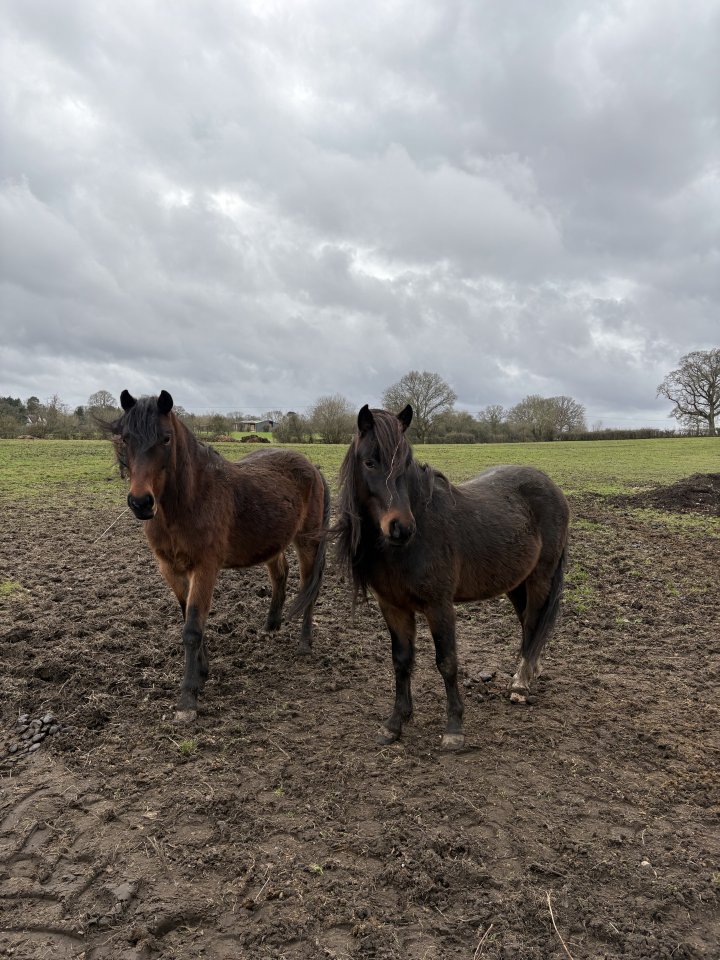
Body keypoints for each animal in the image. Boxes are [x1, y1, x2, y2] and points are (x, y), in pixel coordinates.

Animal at [107, 389, 330, 722]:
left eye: (166, 438)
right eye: (126, 438)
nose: (141, 503)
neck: (189, 502)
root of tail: (313, 467)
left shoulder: (205, 568)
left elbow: (192, 628)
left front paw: (188, 699)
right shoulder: (170, 568)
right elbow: (187, 617)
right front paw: (202, 673)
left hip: (307, 540)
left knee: (308, 587)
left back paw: (304, 643)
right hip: (273, 542)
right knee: (280, 574)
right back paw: (270, 626)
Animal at [336, 404, 569, 750]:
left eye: (405, 464)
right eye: (369, 462)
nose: (401, 528)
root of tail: (552, 487)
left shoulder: (439, 607)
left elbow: (447, 662)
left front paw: (454, 729)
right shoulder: (393, 607)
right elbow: (401, 662)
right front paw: (395, 723)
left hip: (541, 577)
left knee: (533, 622)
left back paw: (520, 684)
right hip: (516, 582)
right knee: (529, 623)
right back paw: (529, 673)